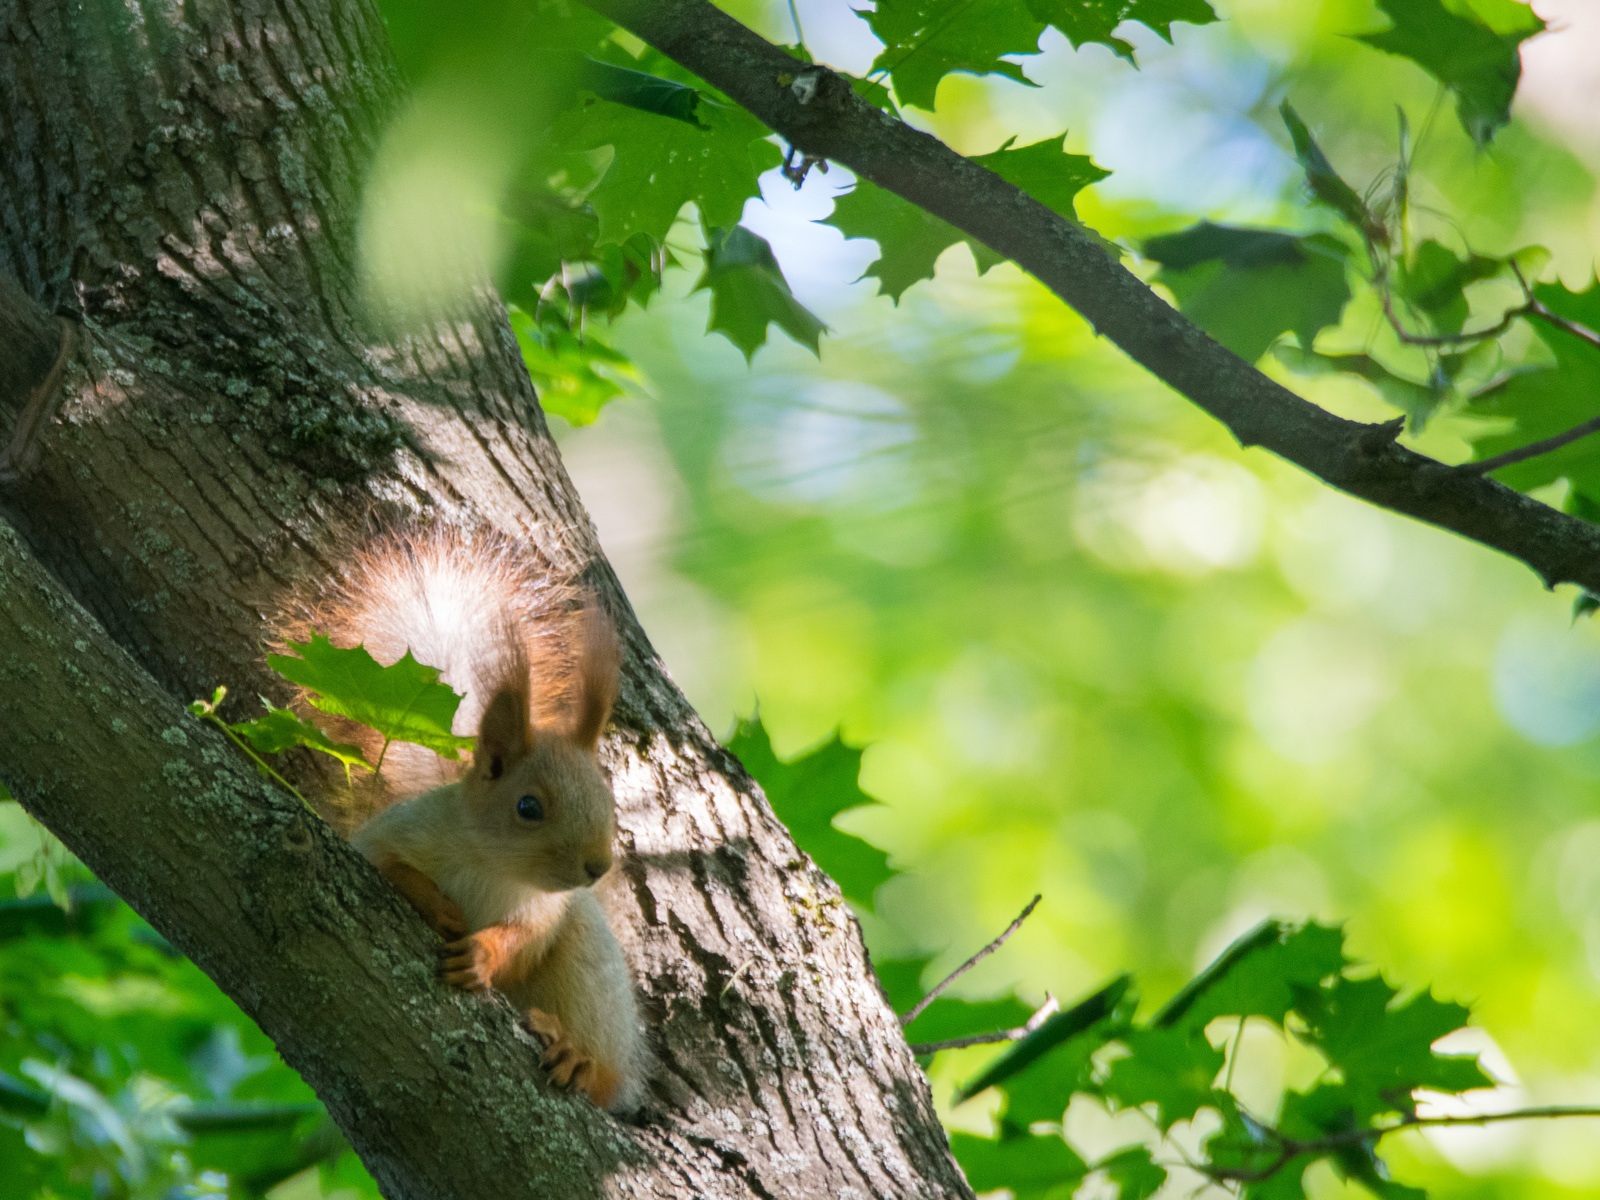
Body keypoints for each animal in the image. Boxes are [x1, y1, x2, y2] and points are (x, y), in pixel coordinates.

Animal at [276, 531, 649, 1113]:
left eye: (607, 799)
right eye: (528, 807)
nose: (597, 866)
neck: (490, 864)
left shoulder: (544, 910)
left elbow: (523, 941)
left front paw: (479, 953)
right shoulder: (398, 830)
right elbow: (387, 864)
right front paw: (439, 906)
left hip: (589, 958)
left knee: (607, 1073)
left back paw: (578, 1058)